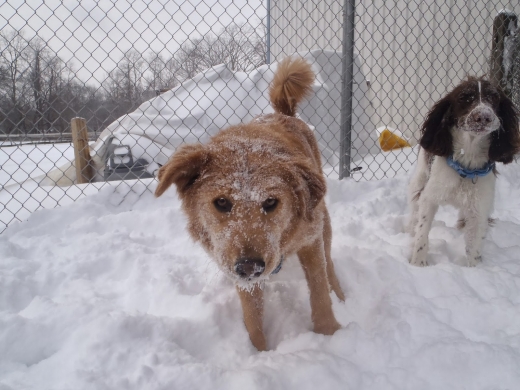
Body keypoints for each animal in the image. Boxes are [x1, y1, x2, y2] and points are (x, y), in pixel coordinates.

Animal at [156, 57, 348, 350]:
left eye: (270, 201)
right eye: (221, 202)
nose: (250, 267)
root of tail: (284, 114)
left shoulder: (309, 240)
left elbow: (318, 290)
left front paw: (329, 334)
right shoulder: (239, 272)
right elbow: (252, 316)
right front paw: (259, 352)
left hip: (322, 222)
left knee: (329, 264)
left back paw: (340, 294)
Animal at [408, 78, 516, 268]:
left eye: (494, 97)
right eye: (464, 97)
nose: (483, 116)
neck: (467, 168)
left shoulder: (478, 208)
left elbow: (474, 248)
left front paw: (474, 269)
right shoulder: (429, 197)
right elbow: (422, 233)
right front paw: (417, 263)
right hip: (420, 178)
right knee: (414, 210)